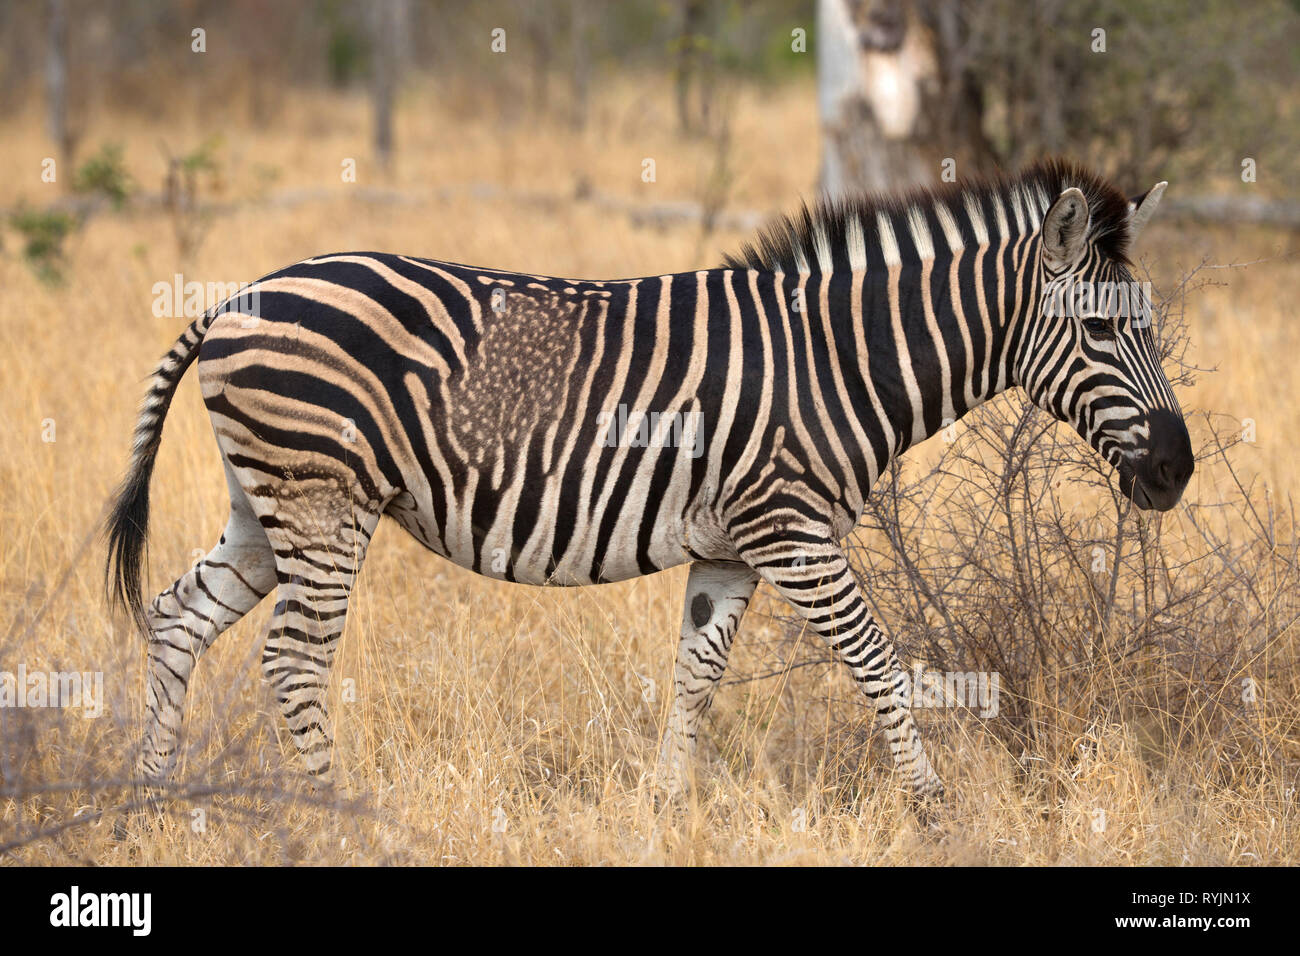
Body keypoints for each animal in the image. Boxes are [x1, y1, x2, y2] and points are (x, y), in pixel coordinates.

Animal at [106, 160, 1190, 806]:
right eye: (1104, 331)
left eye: (1144, 325)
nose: (1176, 470)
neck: (838, 361)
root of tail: (234, 299)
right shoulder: (792, 529)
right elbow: (879, 662)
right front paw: (932, 810)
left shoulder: (732, 548)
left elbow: (695, 676)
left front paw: (665, 808)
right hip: (323, 501)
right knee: (292, 661)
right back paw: (336, 815)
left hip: (268, 505)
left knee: (178, 615)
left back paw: (156, 801)